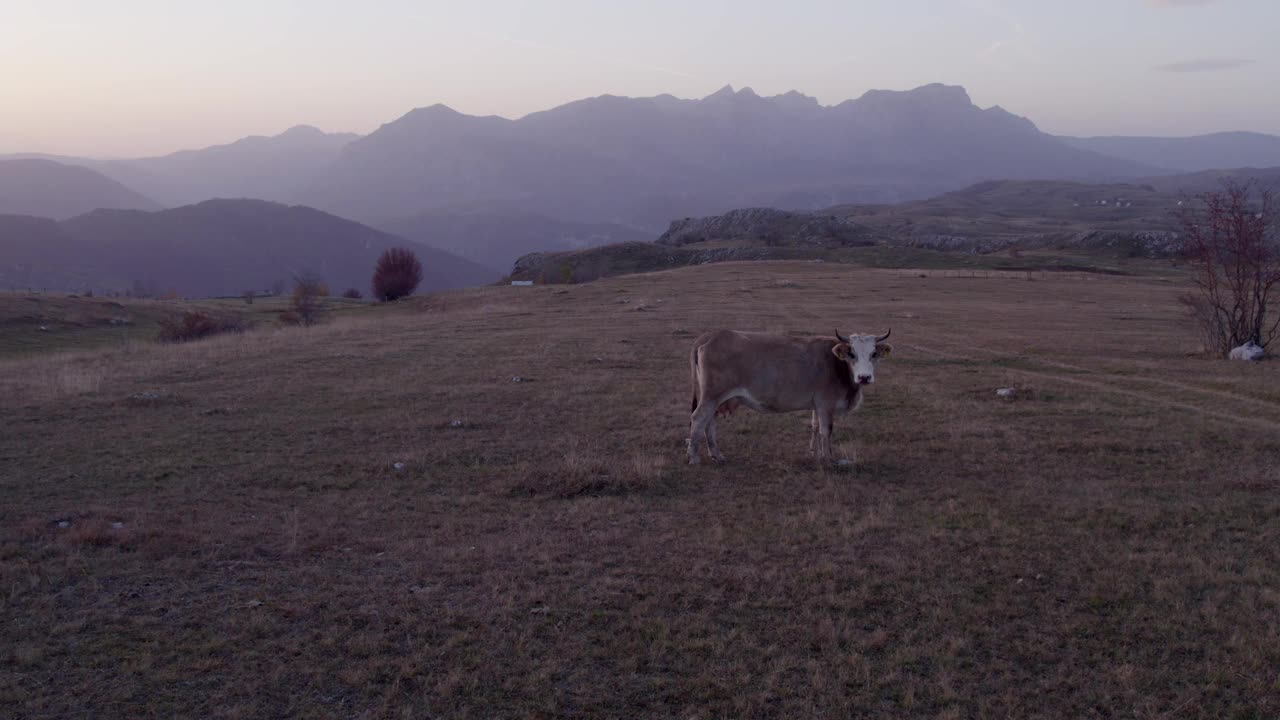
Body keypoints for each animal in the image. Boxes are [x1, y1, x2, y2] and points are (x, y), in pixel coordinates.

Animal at [686, 327, 896, 461]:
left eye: (873, 354)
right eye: (852, 353)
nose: (864, 377)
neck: (837, 363)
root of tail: (711, 335)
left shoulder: (817, 404)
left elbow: (815, 426)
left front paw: (814, 453)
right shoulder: (826, 404)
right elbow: (826, 430)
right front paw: (828, 458)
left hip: (716, 399)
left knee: (709, 422)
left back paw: (716, 454)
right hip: (711, 396)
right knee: (698, 418)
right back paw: (693, 457)